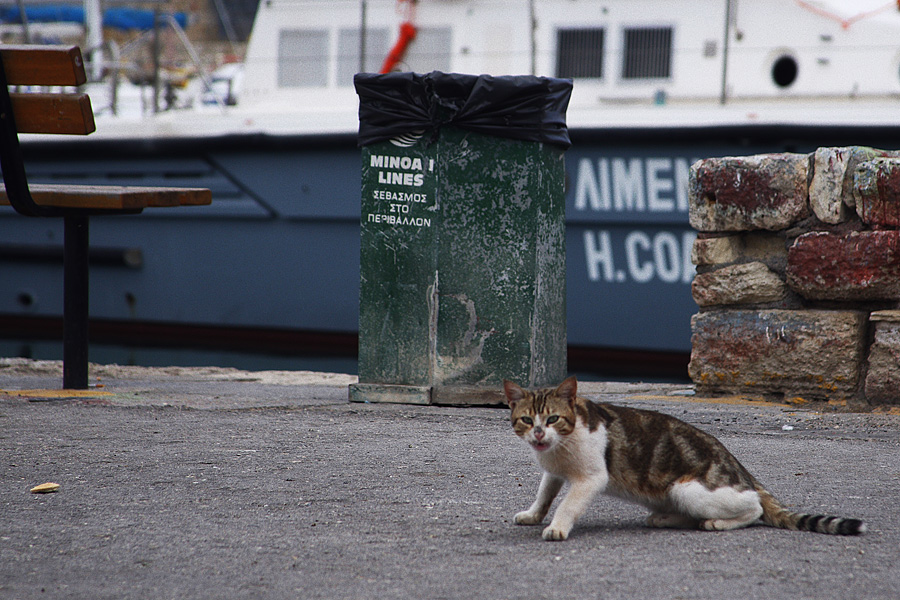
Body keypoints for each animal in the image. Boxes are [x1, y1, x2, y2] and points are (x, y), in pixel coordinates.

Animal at [506, 378, 864, 540]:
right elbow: (545, 493)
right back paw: (665, 518)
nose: (538, 434)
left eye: (553, 419)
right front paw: (534, 514)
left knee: (754, 509)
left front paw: (557, 527)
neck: (561, 447)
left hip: (688, 488)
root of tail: (743, 472)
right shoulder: (554, 470)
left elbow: (568, 503)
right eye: (526, 420)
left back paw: (718, 522)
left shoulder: (591, 478)